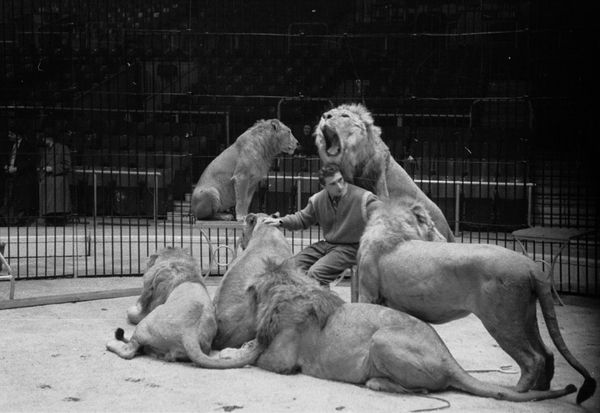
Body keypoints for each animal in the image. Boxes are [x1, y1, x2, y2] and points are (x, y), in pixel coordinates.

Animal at [193, 260, 576, 404]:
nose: (218, 335)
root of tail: (448, 358)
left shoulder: (283, 359)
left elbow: (254, 355)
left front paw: (230, 350)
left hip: (381, 339)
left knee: (421, 389)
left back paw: (375, 382)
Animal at [356, 199, 596, 402]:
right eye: (432, 227)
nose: (444, 239)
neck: (392, 227)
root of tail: (531, 266)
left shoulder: (368, 293)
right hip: (526, 317)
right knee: (547, 352)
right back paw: (541, 390)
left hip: (501, 321)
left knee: (532, 359)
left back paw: (517, 392)